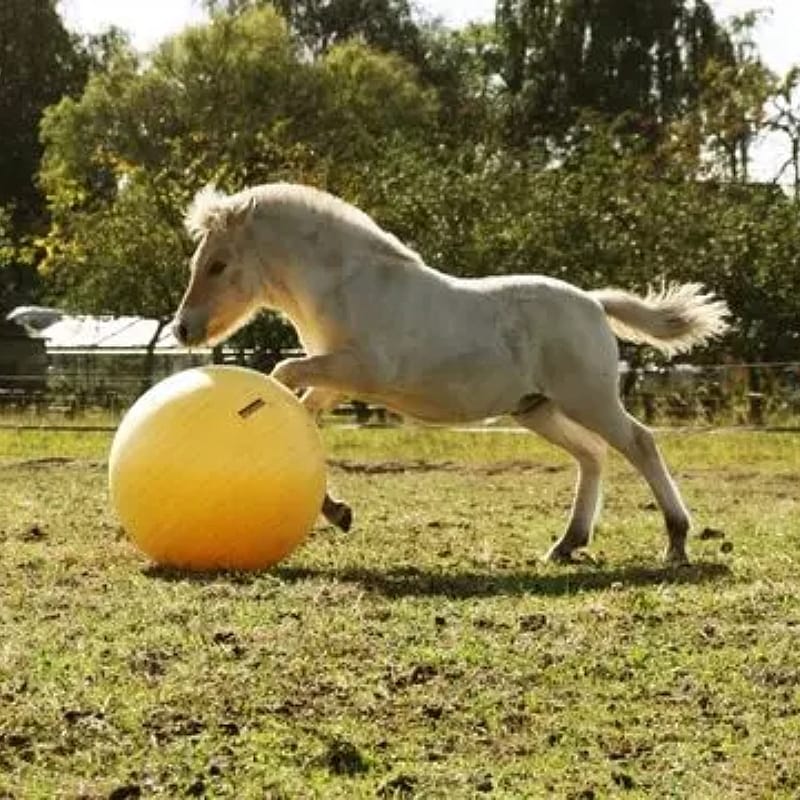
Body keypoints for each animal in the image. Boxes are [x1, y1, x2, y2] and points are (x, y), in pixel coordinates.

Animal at [173, 183, 729, 564]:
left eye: (218, 264)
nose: (183, 328)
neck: (349, 286)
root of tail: (594, 302)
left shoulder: (362, 371)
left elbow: (283, 371)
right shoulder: (338, 381)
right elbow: (305, 407)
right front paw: (337, 510)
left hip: (588, 399)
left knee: (639, 443)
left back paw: (676, 542)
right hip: (537, 410)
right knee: (592, 455)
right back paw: (566, 545)